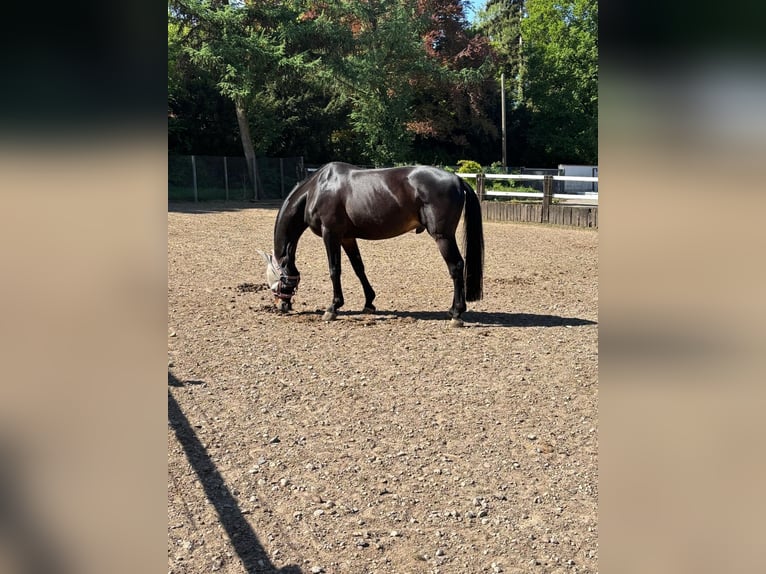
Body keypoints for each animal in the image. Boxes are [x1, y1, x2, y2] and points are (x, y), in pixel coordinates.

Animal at [258, 161, 484, 326]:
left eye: (276, 278)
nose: (281, 305)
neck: (317, 189)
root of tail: (457, 179)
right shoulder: (347, 238)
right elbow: (359, 268)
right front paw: (369, 303)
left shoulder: (330, 234)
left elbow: (334, 270)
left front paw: (333, 308)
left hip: (443, 237)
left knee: (456, 267)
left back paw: (456, 314)